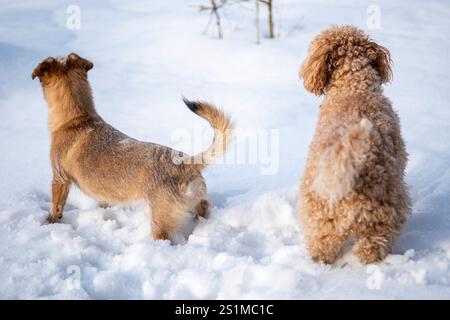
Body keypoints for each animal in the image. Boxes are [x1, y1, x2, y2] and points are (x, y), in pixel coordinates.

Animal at [33, 53, 234, 242]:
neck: (79, 118)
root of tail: (187, 162)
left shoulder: (59, 179)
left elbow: (56, 206)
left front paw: (49, 222)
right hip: (197, 202)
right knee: (204, 209)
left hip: (159, 218)